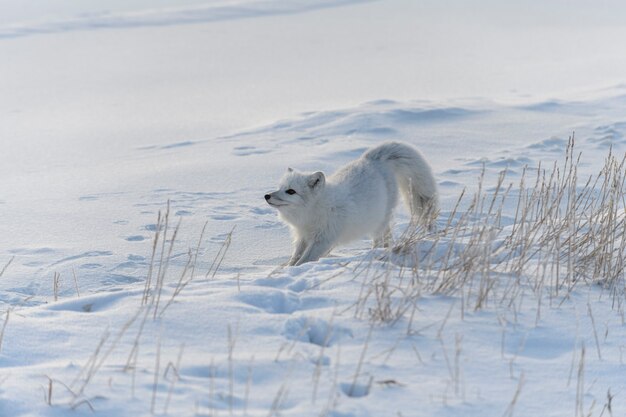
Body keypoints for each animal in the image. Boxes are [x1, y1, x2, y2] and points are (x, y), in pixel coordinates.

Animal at [264, 141, 438, 264]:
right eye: (280, 188)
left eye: (291, 191)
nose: (266, 196)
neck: (313, 212)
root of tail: (371, 159)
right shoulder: (303, 237)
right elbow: (294, 258)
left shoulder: (323, 239)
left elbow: (304, 260)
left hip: (379, 221)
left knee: (382, 237)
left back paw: (375, 253)